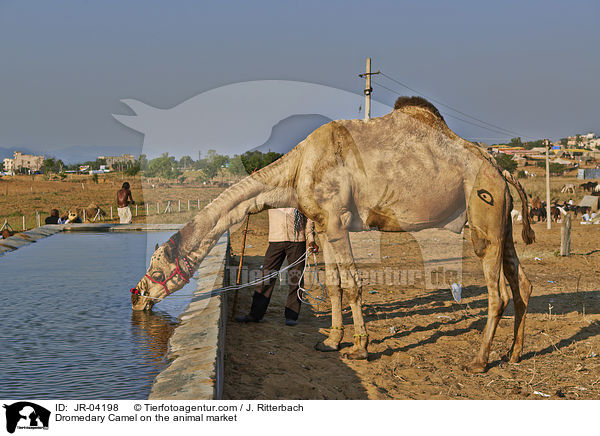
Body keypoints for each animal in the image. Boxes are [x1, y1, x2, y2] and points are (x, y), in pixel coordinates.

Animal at [131, 97, 536, 372]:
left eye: (156, 269)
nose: (137, 298)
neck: (298, 166)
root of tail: (500, 168)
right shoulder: (323, 224)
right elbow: (333, 284)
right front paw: (330, 341)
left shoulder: (338, 219)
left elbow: (354, 284)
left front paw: (360, 348)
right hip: (501, 219)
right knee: (522, 283)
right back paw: (515, 353)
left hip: (483, 212)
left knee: (498, 292)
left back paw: (480, 360)